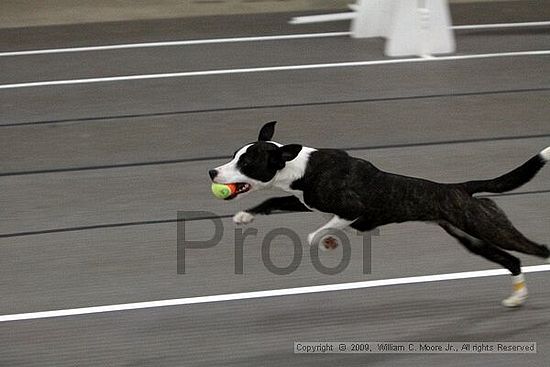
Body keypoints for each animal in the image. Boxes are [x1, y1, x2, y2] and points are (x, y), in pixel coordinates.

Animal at [209, 121, 548, 308]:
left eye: (247, 163)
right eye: (234, 156)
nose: (212, 172)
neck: (299, 168)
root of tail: (462, 187)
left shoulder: (352, 210)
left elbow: (313, 234)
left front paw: (327, 241)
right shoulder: (306, 201)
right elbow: (273, 201)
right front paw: (244, 216)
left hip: (489, 227)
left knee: (537, 249)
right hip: (472, 237)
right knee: (512, 261)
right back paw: (517, 298)